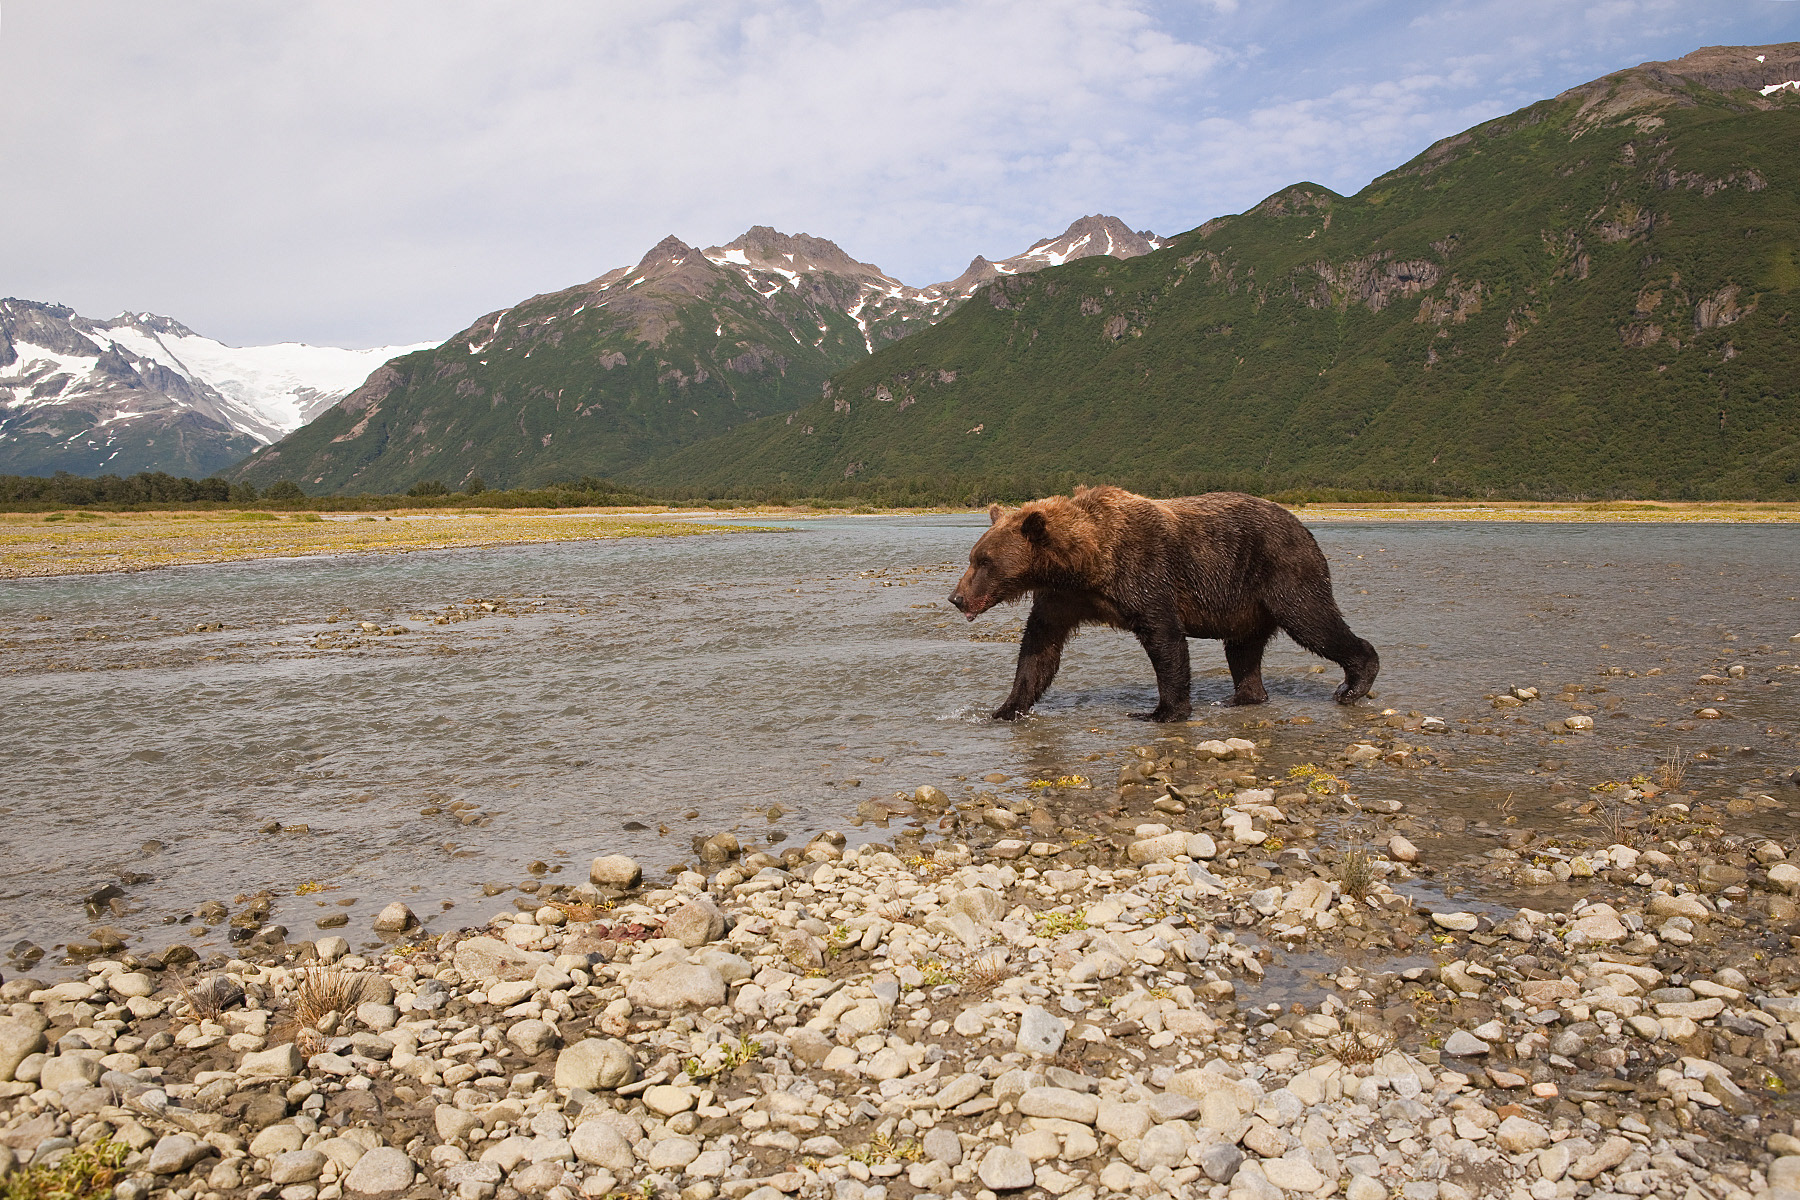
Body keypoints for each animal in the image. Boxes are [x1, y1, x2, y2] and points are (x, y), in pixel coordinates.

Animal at [948, 486, 1378, 721]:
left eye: (984, 561)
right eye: (973, 557)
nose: (956, 597)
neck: (1086, 563)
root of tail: (1302, 526)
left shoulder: (1144, 574)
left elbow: (1164, 638)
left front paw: (1160, 711)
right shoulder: (1063, 599)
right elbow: (1038, 651)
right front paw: (1004, 709)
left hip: (1282, 571)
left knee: (1313, 621)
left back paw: (1354, 683)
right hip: (1243, 604)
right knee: (1243, 649)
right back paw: (1242, 697)